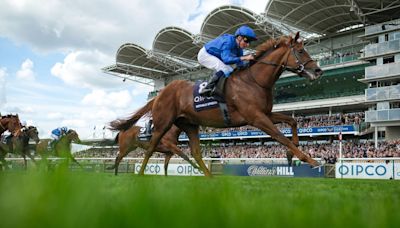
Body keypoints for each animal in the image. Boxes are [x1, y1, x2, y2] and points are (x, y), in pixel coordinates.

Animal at [111, 32, 324, 176]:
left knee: (196, 152)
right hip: (163, 123)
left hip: (190, 124)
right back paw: (140, 176)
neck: (254, 80)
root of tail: (160, 93)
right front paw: (310, 160)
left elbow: (292, 122)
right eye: (301, 50)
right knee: (149, 148)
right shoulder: (256, 118)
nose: (318, 70)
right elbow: (281, 137)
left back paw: (210, 178)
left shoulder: (265, 113)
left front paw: (290, 154)